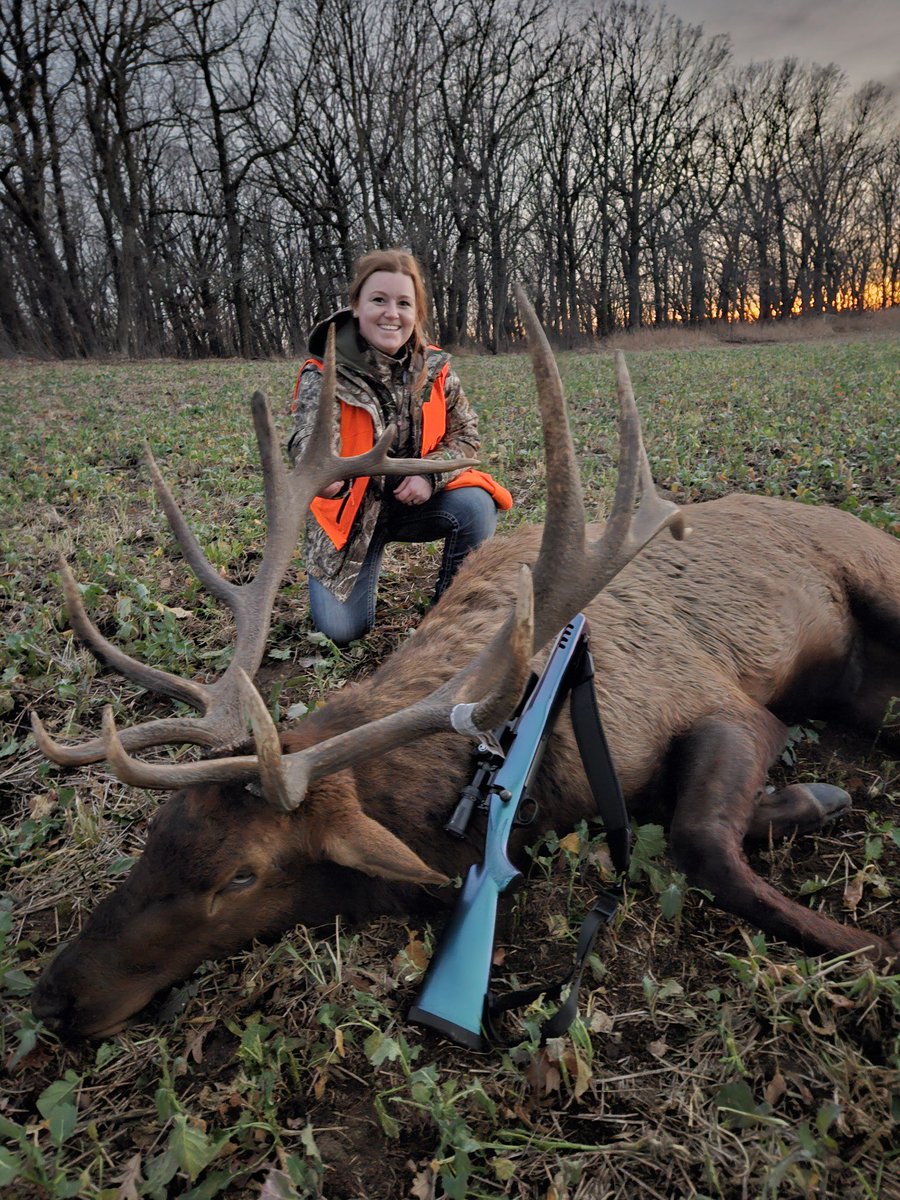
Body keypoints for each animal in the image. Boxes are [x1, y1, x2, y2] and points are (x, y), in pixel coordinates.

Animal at [29, 290, 900, 1042]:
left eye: (240, 877)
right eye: (157, 832)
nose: (52, 997)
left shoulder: (724, 705)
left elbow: (699, 839)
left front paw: (867, 941)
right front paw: (808, 804)